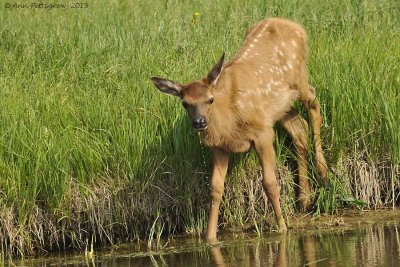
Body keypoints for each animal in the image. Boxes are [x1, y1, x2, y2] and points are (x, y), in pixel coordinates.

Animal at [150, 16, 328, 243]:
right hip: (281, 106)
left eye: (210, 99)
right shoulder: (219, 146)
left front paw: (282, 228)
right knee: (299, 128)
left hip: (299, 79)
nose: (199, 122)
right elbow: (215, 188)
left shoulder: (262, 133)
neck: (229, 118)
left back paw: (323, 172)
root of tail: (297, 27)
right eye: (185, 103)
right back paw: (304, 200)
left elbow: (270, 183)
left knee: (314, 105)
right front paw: (210, 237)